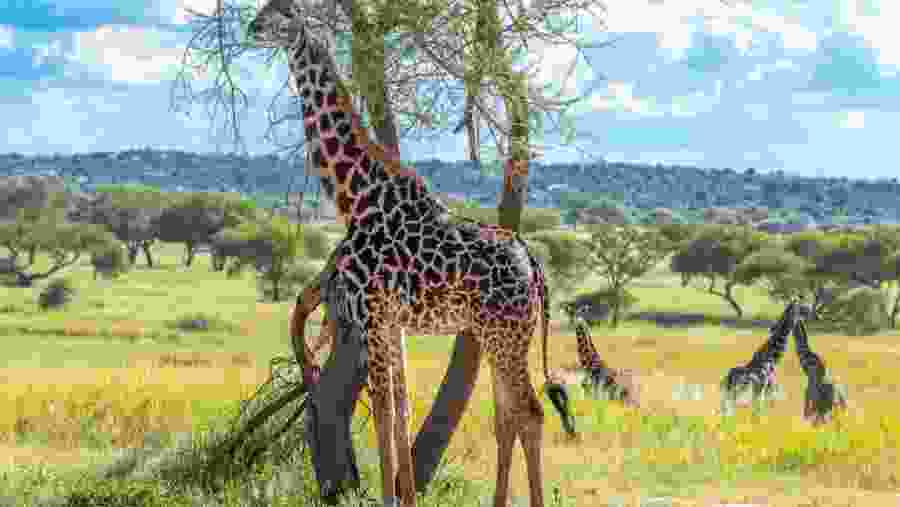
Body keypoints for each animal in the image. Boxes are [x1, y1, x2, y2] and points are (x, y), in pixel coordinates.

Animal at [249, 3, 557, 506]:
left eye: (286, 12)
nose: (252, 27)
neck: (356, 198)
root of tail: (533, 269)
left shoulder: (373, 316)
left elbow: (382, 409)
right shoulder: (392, 323)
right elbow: (402, 407)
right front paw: (404, 496)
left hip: (505, 332)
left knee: (529, 411)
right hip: (501, 334)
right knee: (510, 414)